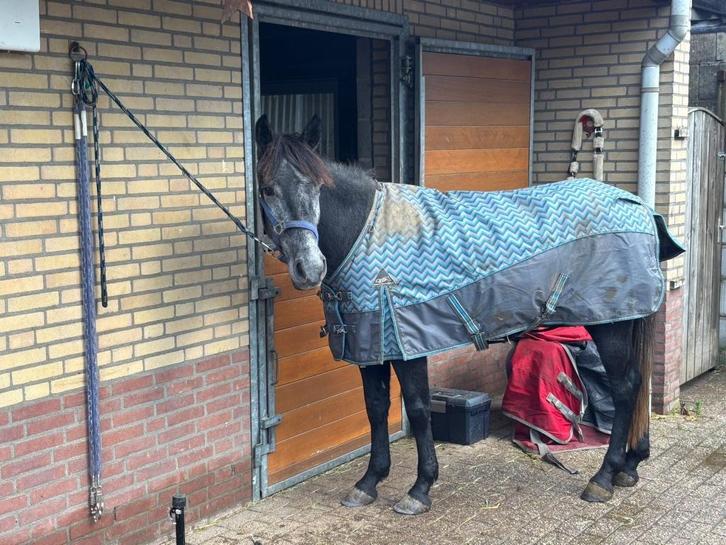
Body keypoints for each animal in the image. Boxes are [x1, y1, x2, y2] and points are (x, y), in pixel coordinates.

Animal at [254, 114, 683, 515]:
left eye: (317, 187)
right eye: (267, 188)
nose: (309, 268)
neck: (367, 233)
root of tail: (640, 207)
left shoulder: (408, 344)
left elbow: (419, 410)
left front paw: (420, 488)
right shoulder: (370, 345)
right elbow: (376, 410)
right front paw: (369, 482)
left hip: (611, 326)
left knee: (625, 388)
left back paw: (603, 478)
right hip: (623, 321)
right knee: (637, 385)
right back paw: (630, 466)